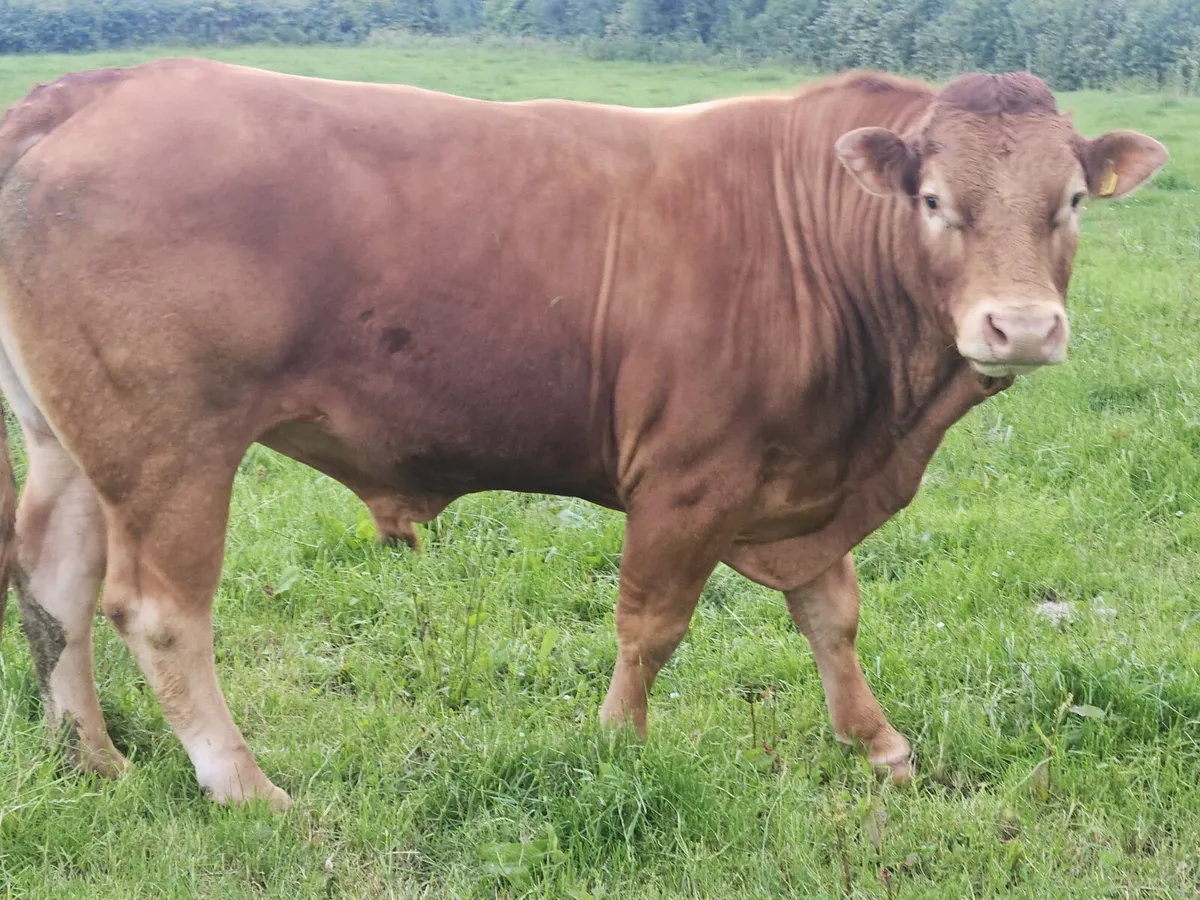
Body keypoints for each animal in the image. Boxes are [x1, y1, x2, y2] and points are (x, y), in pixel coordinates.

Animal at [0, 59, 1166, 810]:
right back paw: (244, 785)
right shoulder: (691, 479)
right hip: (173, 444)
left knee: (53, 585)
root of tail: (99, 87)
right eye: (932, 199)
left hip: (69, 442)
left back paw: (92, 760)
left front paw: (876, 746)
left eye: (1070, 200)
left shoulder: (801, 479)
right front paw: (619, 743)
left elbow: (831, 613)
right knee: (158, 612)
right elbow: (651, 625)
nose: (1022, 326)